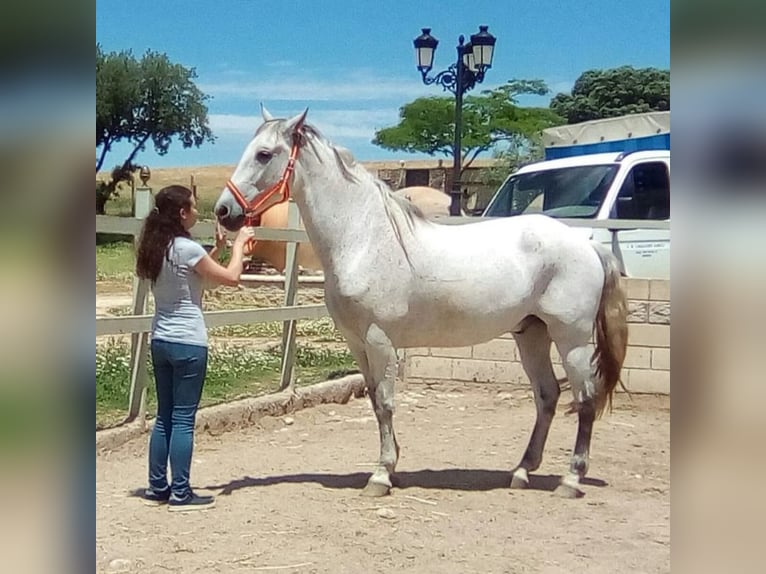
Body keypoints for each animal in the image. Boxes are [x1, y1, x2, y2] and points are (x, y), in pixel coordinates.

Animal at [218, 109, 632, 500]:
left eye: (264, 153)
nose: (224, 212)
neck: (364, 239)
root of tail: (587, 246)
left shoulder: (380, 340)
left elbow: (386, 402)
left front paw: (381, 475)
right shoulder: (357, 343)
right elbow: (374, 402)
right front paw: (392, 465)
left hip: (571, 340)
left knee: (586, 399)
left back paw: (570, 479)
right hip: (531, 335)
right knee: (547, 396)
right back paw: (521, 472)